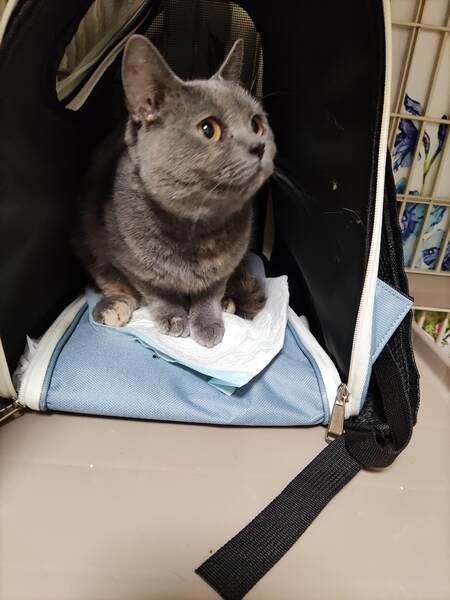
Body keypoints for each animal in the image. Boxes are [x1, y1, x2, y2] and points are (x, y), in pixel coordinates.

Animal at [75, 35, 276, 348]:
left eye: (257, 124)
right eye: (209, 129)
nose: (259, 146)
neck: (195, 228)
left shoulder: (227, 262)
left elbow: (211, 290)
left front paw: (207, 321)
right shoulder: (131, 263)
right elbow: (156, 290)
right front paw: (173, 317)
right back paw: (112, 307)